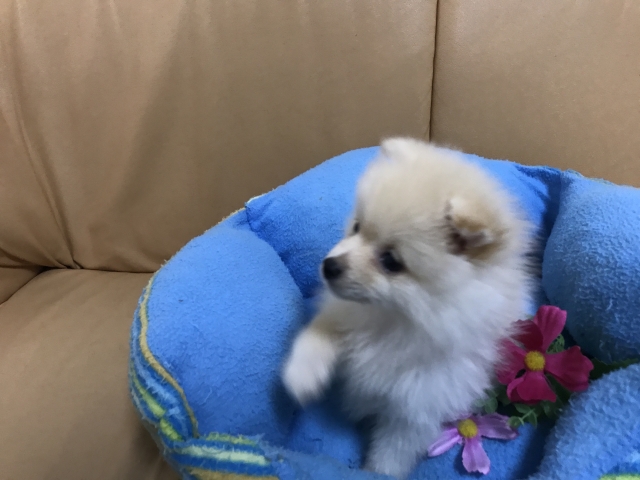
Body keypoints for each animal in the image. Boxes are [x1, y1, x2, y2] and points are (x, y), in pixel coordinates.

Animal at [282, 137, 533, 479]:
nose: (329, 266)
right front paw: (301, 376)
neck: (395, 319)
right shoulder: (344, 312)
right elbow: (318, 332)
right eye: (357, 227)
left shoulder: (417, 407)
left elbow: (392, 453)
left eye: (391, 261)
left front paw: (375, 472)